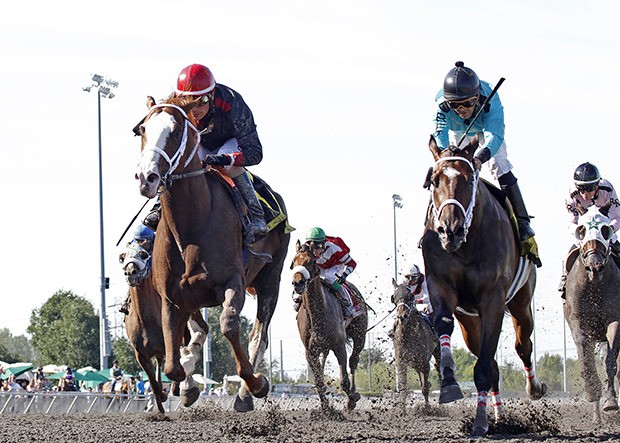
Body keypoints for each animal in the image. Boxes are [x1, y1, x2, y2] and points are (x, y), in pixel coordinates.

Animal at [118, 243, 208, 412]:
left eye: (143, 254)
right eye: (123, 257)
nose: (130, 272)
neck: (146, 318)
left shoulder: (172, 343)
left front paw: (183, 390)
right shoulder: (141, 354)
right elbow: (154, 386)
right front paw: (160, 402)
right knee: (160, 363)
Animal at [133, 95, 290, 414]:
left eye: (176, 131)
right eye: (143, 129)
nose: (147, 177)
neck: (192, 226)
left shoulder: (234, 283)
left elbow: (229, 326)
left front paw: (256, 383)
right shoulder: (173, 297)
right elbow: (172, 363)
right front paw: (187, 384)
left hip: (271, 279)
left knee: (258, 336)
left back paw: (244, 394)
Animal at [290, 241, 368, 412]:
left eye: (311, 261)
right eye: (293, 262)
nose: (297, 282)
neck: (318, 313)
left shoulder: (339, 345)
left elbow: (344, 381)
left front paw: (351, 400)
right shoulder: (310, 352)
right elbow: (319, 381)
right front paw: (326, 409)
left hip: (360, 334)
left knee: (353, 360)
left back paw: (353, 394)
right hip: (323, 347)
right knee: (325, 361)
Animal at [422, 137, 548, 438]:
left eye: (469, 180)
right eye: (434, 180)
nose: (450, 230)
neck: (466, 245)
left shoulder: (493, 301)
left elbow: (484, 368)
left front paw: (479, 424)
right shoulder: (441, 286)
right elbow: (443, 324)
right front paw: (449, 384)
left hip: (521, 303)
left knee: (522, 346)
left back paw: (533, 388)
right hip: (470, 323)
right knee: (492, 363)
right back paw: (499, 417)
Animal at [560, 206, 620, 424]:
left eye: (605, 229)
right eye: (582, 229)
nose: (595, 266)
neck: (595, 285)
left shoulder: (615, 320)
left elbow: (610, 362)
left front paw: (610, 401)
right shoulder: (578, 324)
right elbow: (586, 361)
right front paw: (592, 392)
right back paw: (596, 417)